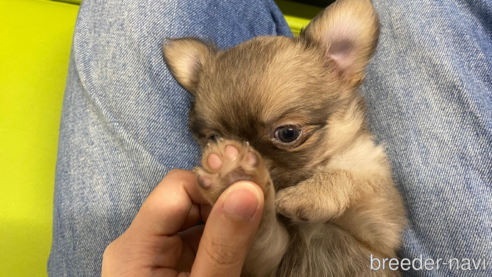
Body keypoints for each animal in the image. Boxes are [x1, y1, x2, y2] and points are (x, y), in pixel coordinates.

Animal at [163, 0, 406, 274]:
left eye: (288, 133)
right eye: (214, 138)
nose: (245, 150)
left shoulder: (380, 224)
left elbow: (347, 175)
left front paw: (303, 195)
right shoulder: (268, 257)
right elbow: (261, 230)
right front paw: (234, 174)